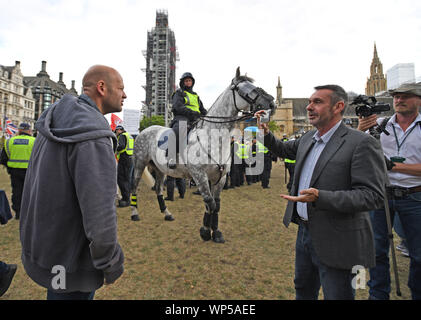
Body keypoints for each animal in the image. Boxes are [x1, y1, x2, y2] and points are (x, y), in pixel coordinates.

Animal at [131, 67, 276, 242]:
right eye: (243, 88)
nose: (271, 103)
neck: (213, 137)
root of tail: (145, 130)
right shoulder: (199, 175)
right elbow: (209, 202)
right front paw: (205, 231)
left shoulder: (220, 178)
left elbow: (216, 205)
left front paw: (216, 232)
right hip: (139, 164)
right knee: (133, 187)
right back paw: (135, 214)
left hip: (160, 169)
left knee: (159, 189)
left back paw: (167, 213)